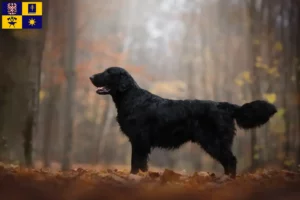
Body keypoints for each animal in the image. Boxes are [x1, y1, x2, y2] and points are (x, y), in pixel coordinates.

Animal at [89, 66, 276, 177]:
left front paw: (135, 177)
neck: (132, 98)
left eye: (108, 72)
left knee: (231, 160)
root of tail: (225, 106)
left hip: (213, 141)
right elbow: (140, 163)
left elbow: (136, 162)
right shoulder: (139, 141)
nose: (90, 76)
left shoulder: (140, 139)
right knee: (228, 161)